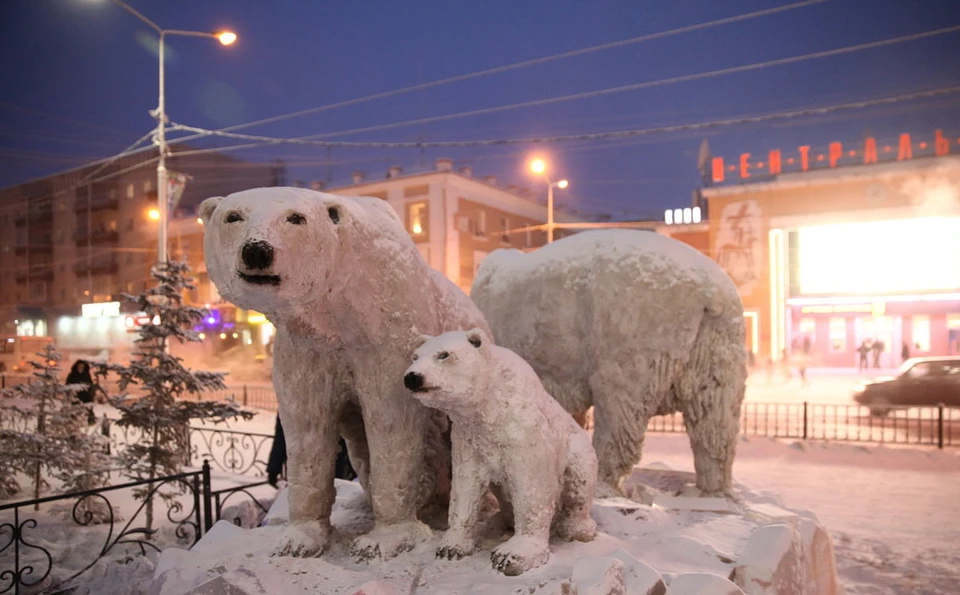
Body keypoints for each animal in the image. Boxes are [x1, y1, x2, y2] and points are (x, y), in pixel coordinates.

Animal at [402, 328, 596, 576]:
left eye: (444, 355)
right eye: (415, 357)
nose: (413, 377)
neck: (488, 406)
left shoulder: (521, 428)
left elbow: (531, 484)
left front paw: (512, 555)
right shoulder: (468, 437)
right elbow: (465, 486)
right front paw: (450, 547)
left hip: (579, 449)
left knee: (579, 481)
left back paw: (576, 529)